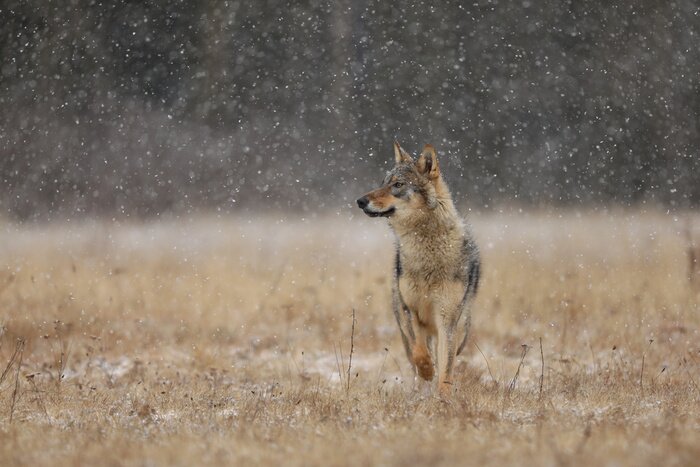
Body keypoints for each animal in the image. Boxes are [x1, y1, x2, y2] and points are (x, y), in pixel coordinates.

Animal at [356, 142, 480, 397]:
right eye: (383, 182)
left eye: (398, 185)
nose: (360, 201)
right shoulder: (411, 310)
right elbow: (419, 352)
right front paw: (426, 371)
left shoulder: (447, 319)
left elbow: (446, 367)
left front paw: (443, 396)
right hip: (403, 324)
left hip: (461, 329)